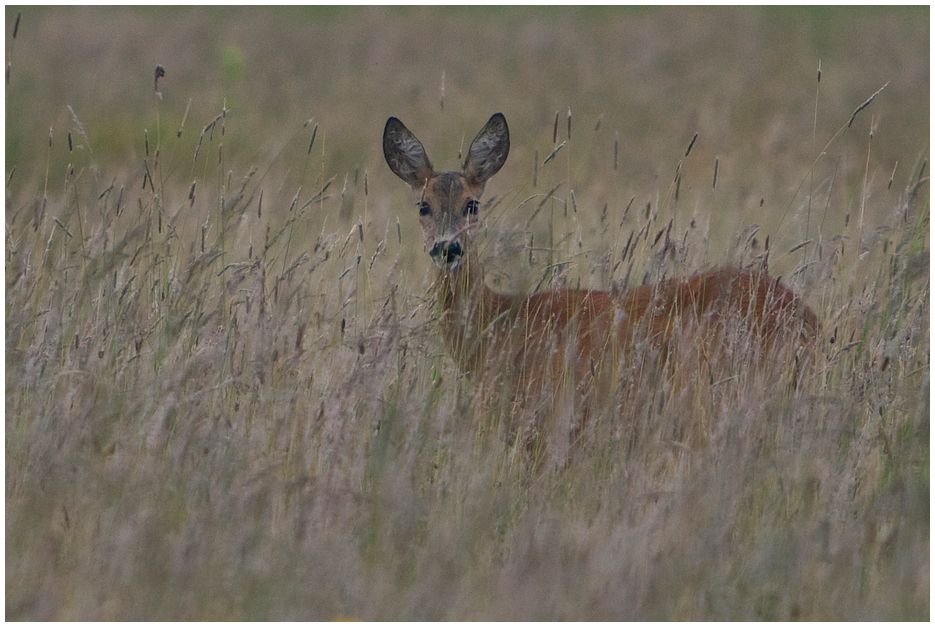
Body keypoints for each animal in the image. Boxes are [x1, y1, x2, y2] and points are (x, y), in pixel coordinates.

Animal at [382, 113, 820, 468]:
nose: (448, 248)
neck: (500, 329)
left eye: (472, 205)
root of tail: (811, 321)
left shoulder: (547, 423)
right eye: (423, 206)